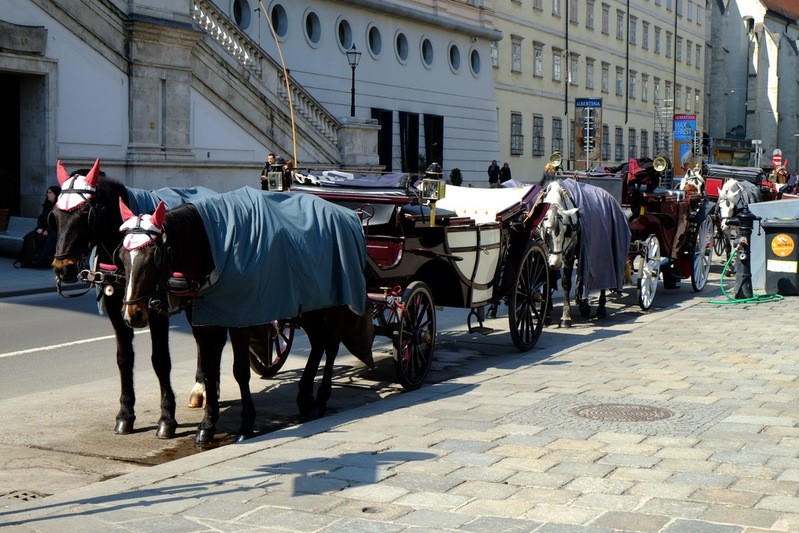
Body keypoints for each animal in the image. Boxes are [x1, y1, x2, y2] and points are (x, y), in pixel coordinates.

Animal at [49, 159, 212, 436]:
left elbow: (161, 360)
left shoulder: (157, 310)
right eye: (56, 215)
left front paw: (166, 418)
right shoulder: (117, 308)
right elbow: (124, 358)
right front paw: (126, 413)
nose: (63, 268)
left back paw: (202, 387)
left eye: (85, 214)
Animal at [117, 189, 376, 442]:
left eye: (153, 256)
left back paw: (320, 400)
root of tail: (349, 216)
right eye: (121, 256)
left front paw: (246, 424)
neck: (212, 247)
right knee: (318, 343)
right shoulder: (205, 320)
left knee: (330, 346)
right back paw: (304, 397)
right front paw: (208, 423)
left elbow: (240, 371)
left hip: (334, 305)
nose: (132, 314)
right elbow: (209, 369)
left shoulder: (240, 319)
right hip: (311, 307)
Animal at [536, 179, 632, 328]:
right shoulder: (546, 254)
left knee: (602, 277)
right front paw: (546, 316)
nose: (556, 263)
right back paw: (583, 304)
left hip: (601, 252)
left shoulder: (568, 254)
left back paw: (600, 307)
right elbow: (549, 281)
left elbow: (565, 283)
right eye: (547, 232)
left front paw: (566, 317)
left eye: (566, 231)